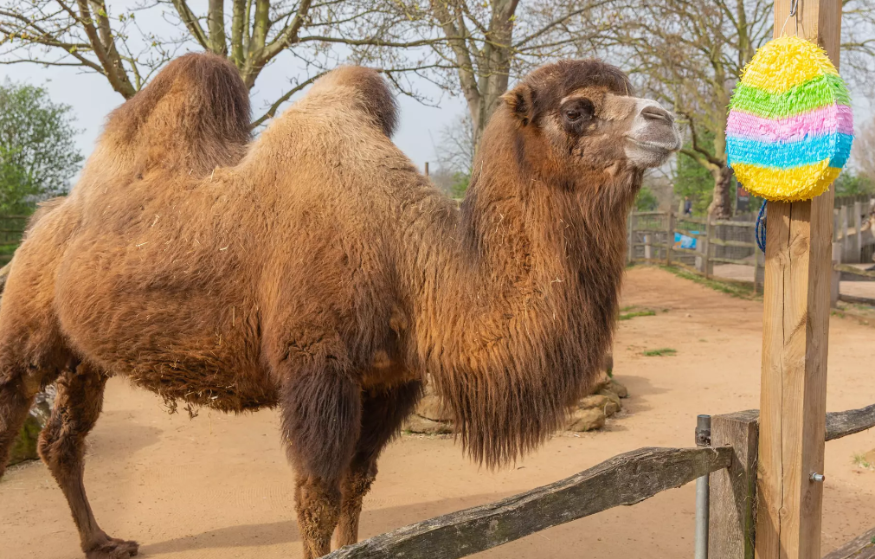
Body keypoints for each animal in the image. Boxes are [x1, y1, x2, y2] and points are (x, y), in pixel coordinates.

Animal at [0, 54, 680, 558]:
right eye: (577, 110)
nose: (665, 119)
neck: (411, 259)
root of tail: (40, 222)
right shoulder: (318, 369)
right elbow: (316, 498)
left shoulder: (389, 380)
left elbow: (357, 485)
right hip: (24, 330)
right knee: (14, 417)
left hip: (85, 356)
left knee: (62, 440)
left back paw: (103, 542)